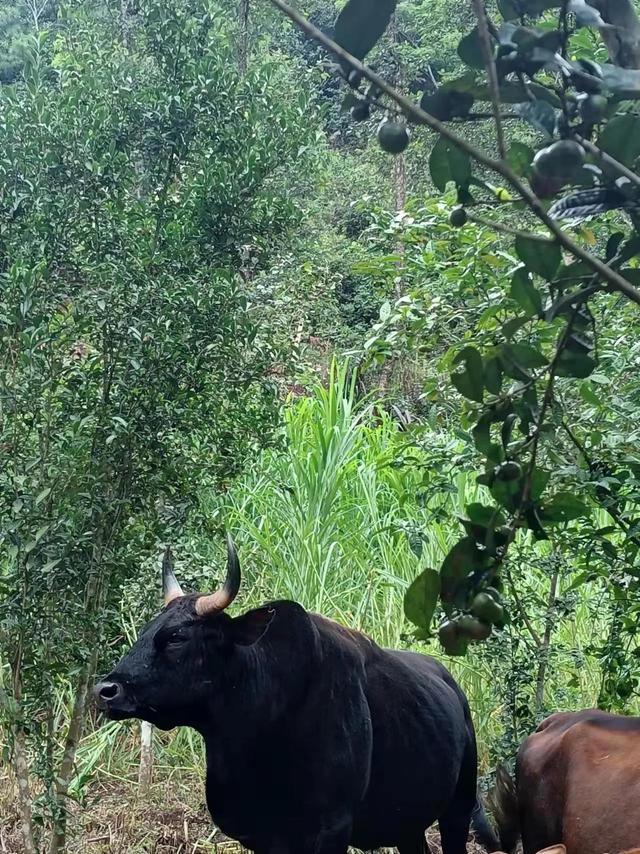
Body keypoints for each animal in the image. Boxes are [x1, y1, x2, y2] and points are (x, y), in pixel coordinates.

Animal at [94, 540, 500, 854]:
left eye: (177, 636)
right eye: (144, 632)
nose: (106, 691)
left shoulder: (331, 829)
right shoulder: (261, 837)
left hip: (458, 810)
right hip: (409, 824)